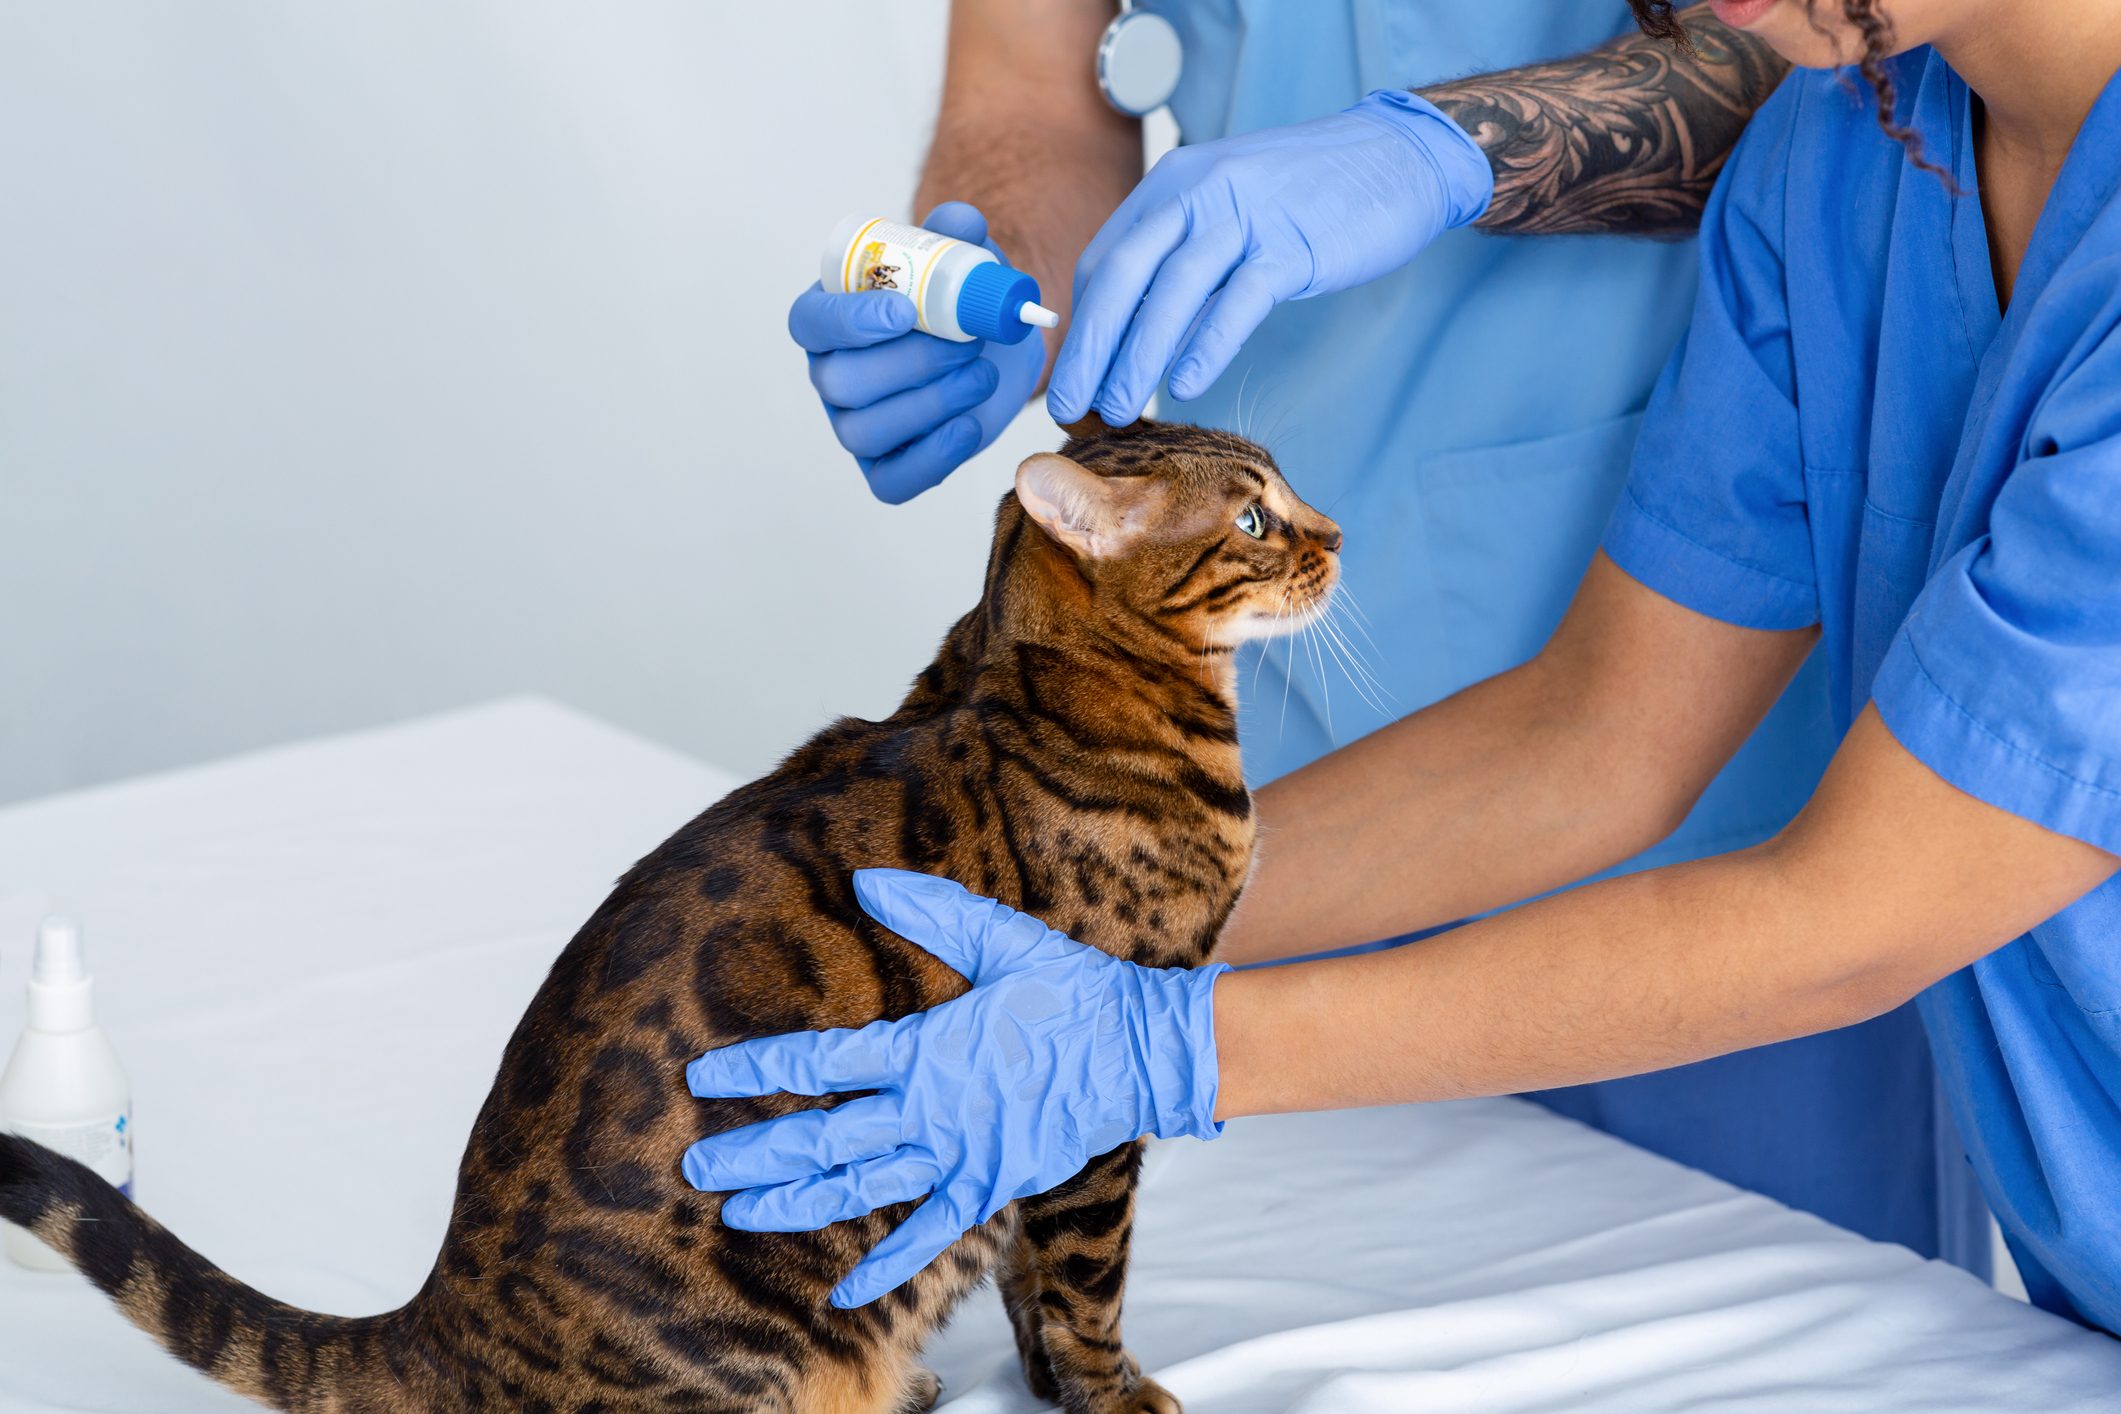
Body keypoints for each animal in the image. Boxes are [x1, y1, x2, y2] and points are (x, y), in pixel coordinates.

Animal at [4, 417, 1340, 1414]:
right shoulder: (1089, 1071)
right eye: (1253, 520)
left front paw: (1051, 1384)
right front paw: (1114, 1393)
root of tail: (439, 1315)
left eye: (1287, 495)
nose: (1333, 532)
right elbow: (1083, 1278)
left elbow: (1026, 1271)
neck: (1060, 686)